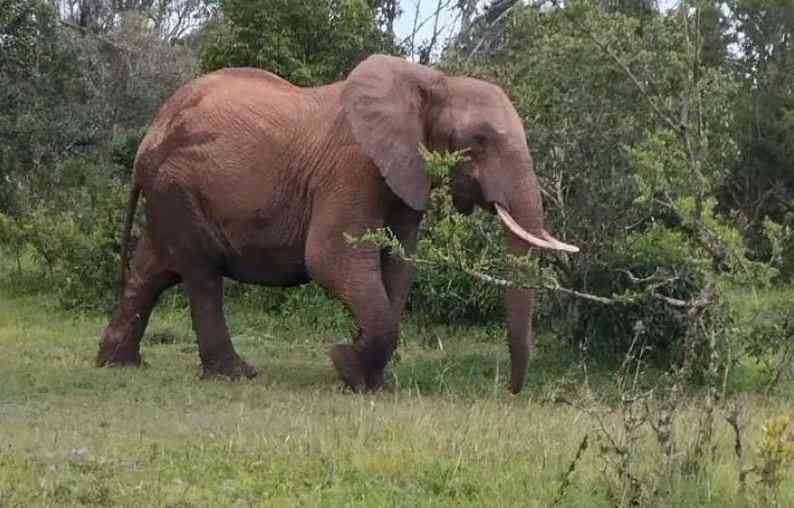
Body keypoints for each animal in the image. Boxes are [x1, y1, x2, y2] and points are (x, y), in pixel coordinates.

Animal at [96, 54, 578, 393]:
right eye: (477, 142)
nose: (510, 391)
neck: (432, 81)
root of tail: (149, 133)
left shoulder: (405, 175)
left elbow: (396, 266)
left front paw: (371, 381)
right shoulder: (354, 165)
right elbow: (331, 258)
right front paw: (346, 365)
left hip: (169, 193)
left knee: (153, 271)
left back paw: (117, 364)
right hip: (178, 187)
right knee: (200, 275)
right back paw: (237, 375)